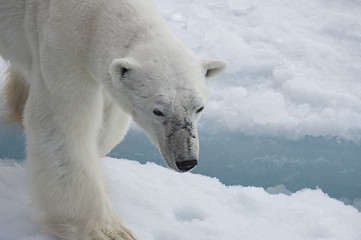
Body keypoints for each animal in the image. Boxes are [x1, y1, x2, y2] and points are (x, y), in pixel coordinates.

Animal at [0, 0, 225, 239]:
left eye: (199, 108)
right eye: (158, 111)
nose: (186, 161)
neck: (91, 13)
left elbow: (109, 122)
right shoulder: (60, 45)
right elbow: (63, 128)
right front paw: (111, 231)